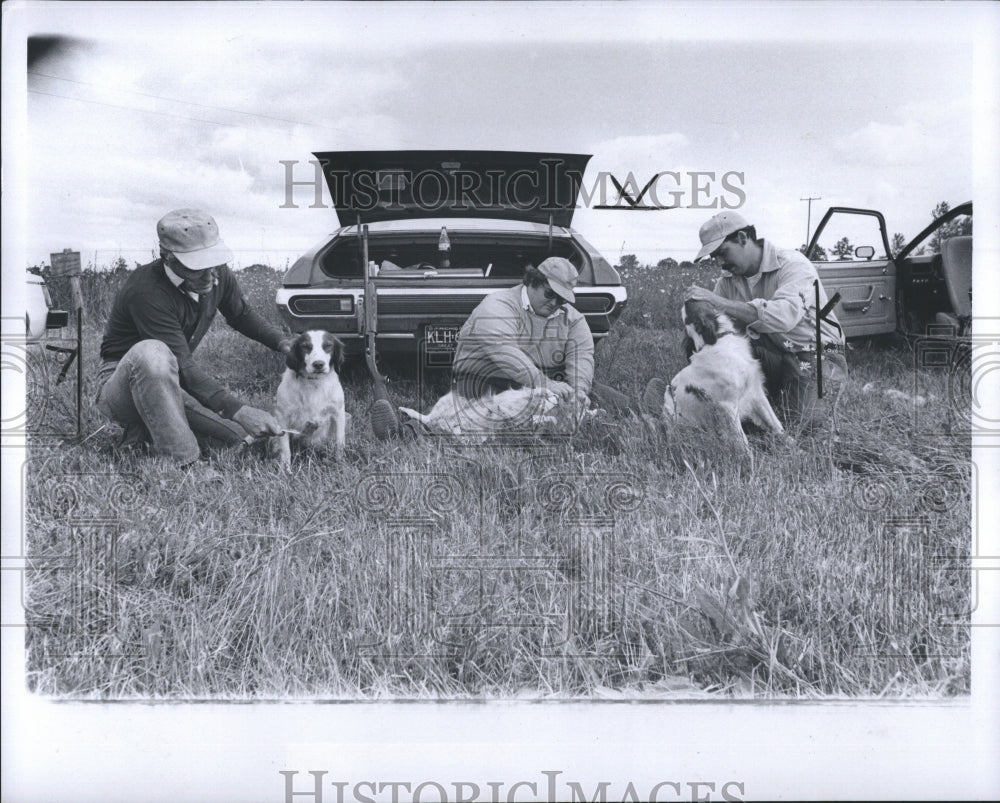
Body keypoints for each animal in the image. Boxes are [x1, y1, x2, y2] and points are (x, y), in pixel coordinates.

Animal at [270, 328, 348, 468]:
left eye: (328, 346)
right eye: (305, 346)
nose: (318, 364)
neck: (314, 382)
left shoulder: (338, 412)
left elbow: (340, 441)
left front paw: (340, 463)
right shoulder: (282, 417)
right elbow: (285, 448)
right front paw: (286, 469)